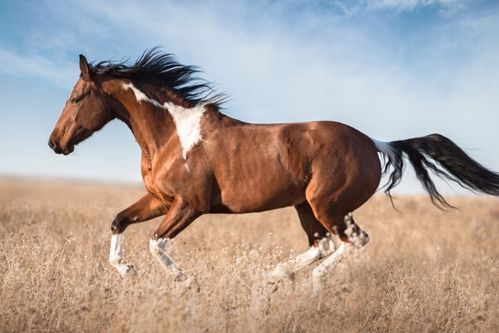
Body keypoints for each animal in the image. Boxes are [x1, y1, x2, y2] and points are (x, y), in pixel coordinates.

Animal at [47, 48, 499, 290]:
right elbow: (119, 221)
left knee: (352, 242)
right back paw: (272, 277)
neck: (172, 134)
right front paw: (125, 269)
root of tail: (374, 143)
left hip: (327, 204)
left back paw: (310, 284)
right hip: (306, 206)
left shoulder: (190, 204)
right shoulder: (160, 199)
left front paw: (187, 282)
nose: (55, 143)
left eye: (76, 97)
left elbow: (156, 243)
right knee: (323, 244)